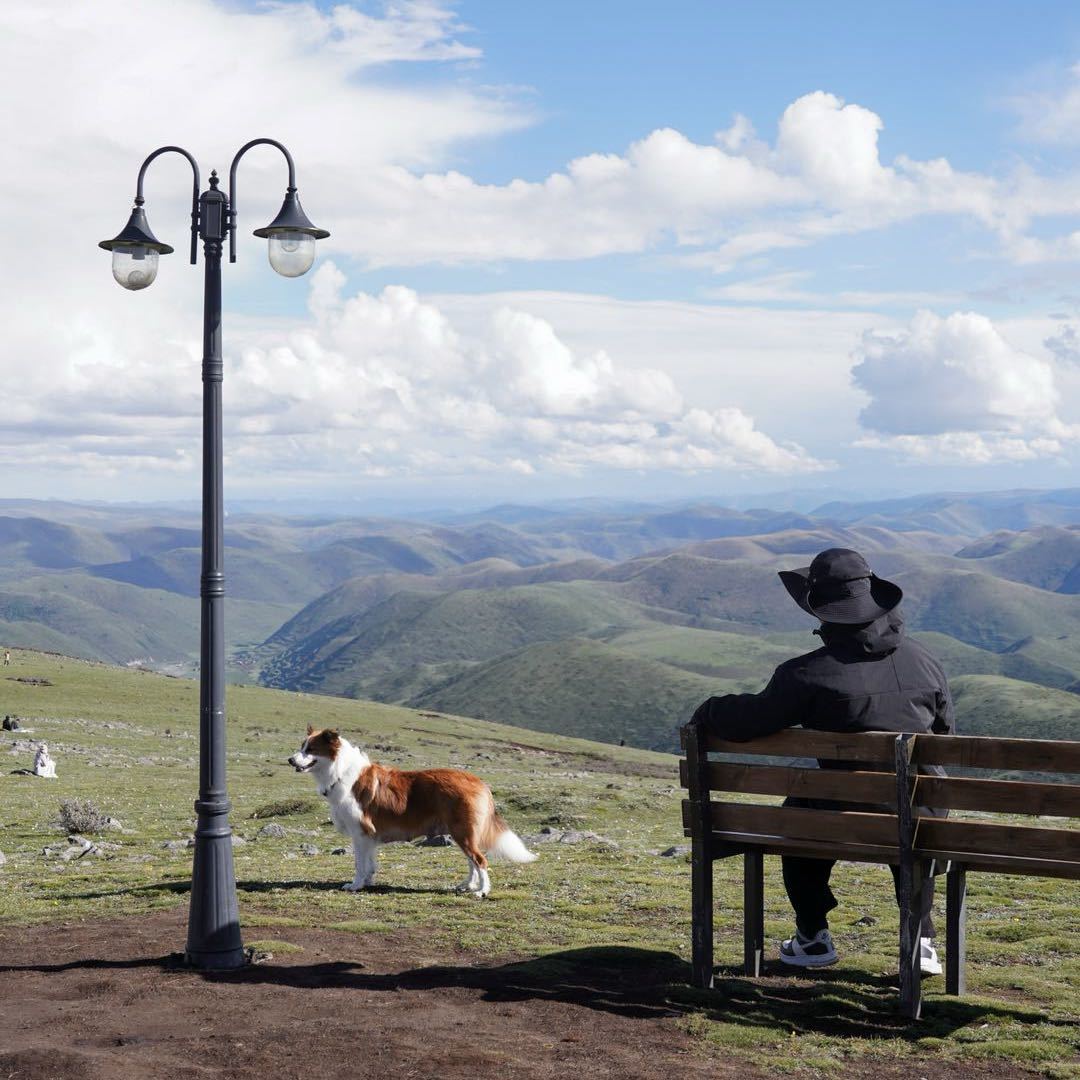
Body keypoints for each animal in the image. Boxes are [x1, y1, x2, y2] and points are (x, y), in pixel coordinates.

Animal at [289, 730, 537, 898]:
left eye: (310, 749)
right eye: (302, 747)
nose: (290, 760)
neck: (340, 771)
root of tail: (477, 781)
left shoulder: (360, 833)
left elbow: (359, 863)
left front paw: (355, 885)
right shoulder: (368, 837)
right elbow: (369, 863)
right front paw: (367, 881)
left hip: (463, 832)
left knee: (480, 860)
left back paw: (481, 891)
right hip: (462, 833)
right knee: (472, 862)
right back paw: (467, 885)